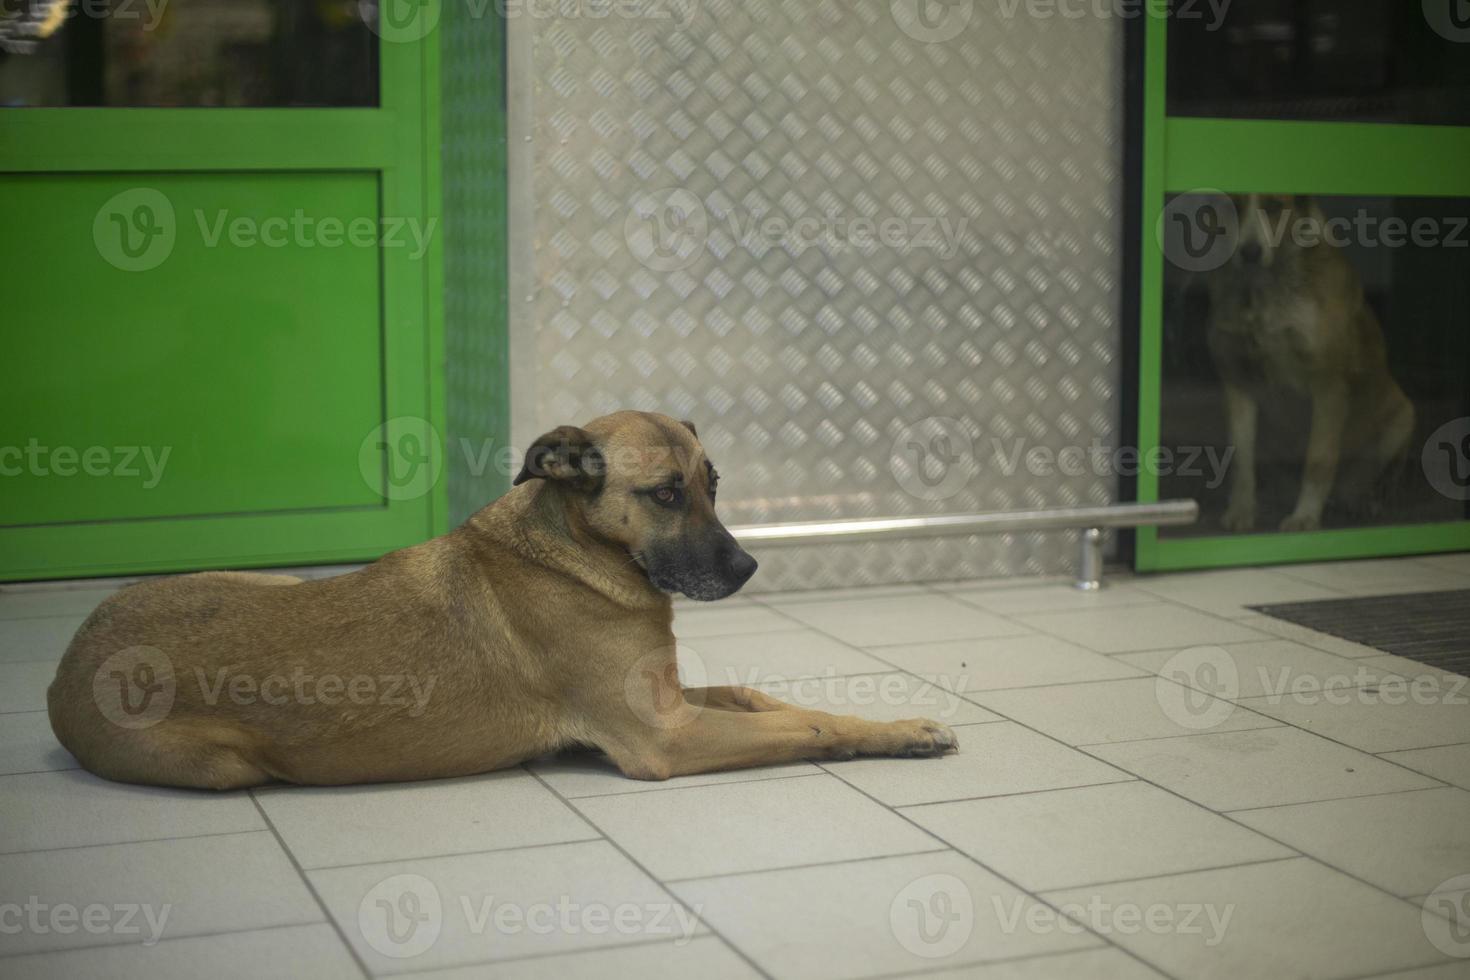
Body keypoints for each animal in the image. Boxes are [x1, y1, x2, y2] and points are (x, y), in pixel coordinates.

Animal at [48, 411, 952, 793]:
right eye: (665, 493)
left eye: (713, 485)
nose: (749, 567)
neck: (576, 553)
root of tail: (60, 677)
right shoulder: (665, 737)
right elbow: (804, 727)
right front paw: (890, 735)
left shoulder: (671, 697)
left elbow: (764, 697)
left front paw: (897, 725)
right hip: (226, 767)